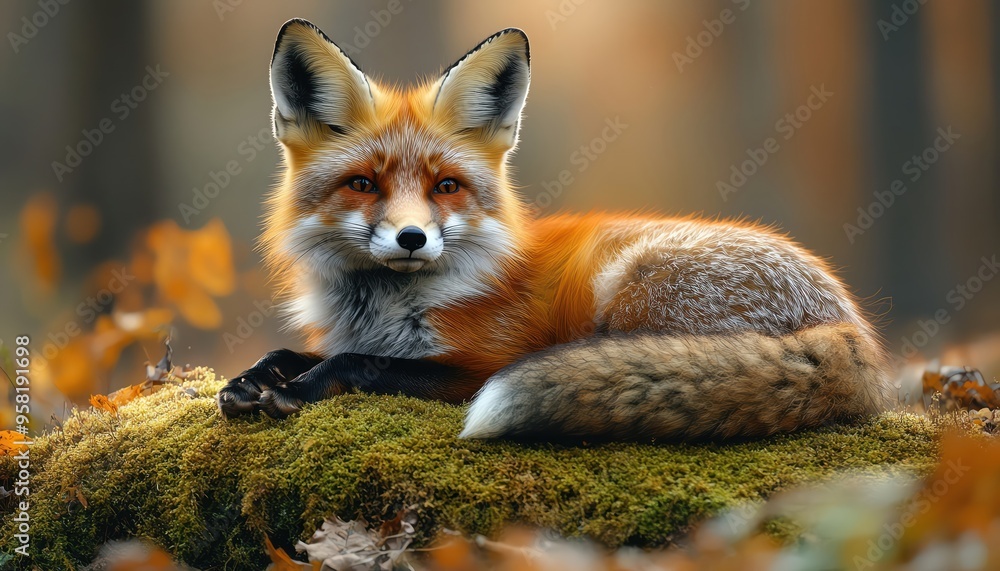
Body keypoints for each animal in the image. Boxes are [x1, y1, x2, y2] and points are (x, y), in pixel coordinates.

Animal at [216, 18, 894, 440]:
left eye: (445, 186)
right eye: (363, 184)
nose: (412, 239)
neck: (385, 308)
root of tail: (851, 325)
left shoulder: (479, 366)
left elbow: (361, 364)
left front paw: (302, 389)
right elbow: (292, 352)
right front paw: (252, 379)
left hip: (631, 290)